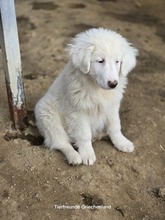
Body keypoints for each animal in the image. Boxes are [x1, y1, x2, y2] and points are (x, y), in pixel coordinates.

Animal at [34, 27, 138, 165]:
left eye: (117, 61)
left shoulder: (111, 107)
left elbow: (115, 126)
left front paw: (122, 142)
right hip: (49, 118)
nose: (113, 84)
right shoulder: (78, 112)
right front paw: (87, 154)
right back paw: (74, 157)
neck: (97, 89)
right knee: (61, 142)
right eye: (100, 61)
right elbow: (84, 135)